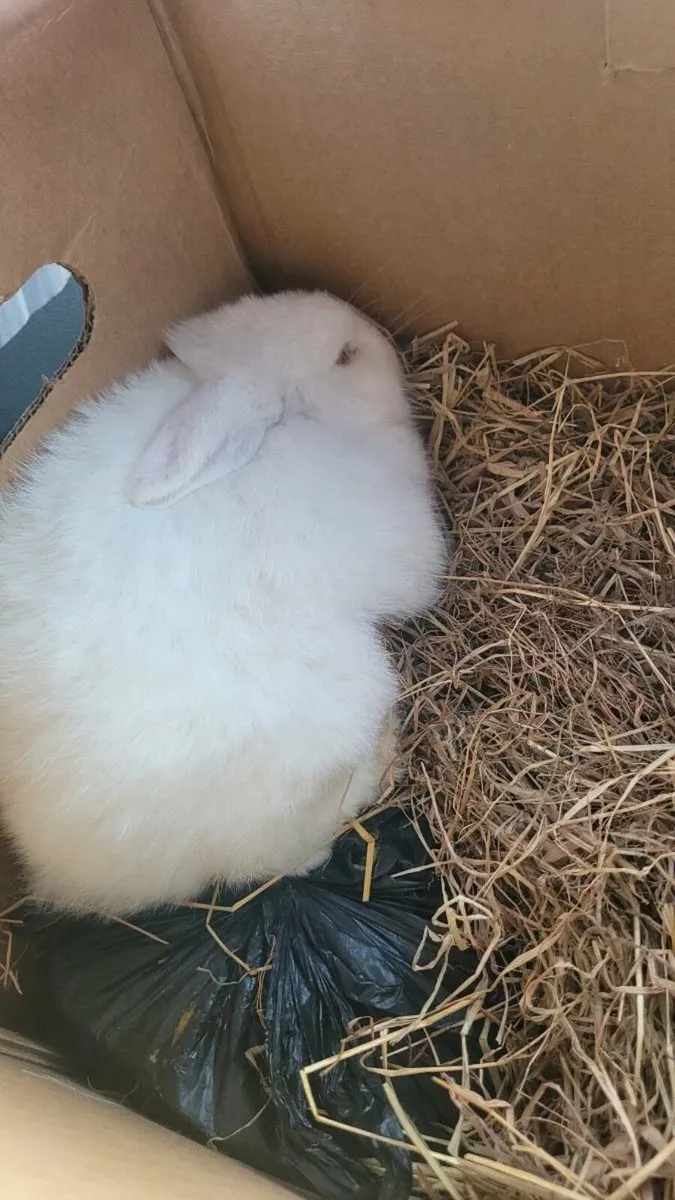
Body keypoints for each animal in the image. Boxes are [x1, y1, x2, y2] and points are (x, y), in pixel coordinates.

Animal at [0, 290, 446, 917]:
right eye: (345, 356)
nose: (381, 334)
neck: (303, 426)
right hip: (348, 706)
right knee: (292, 849)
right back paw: (385, 754)